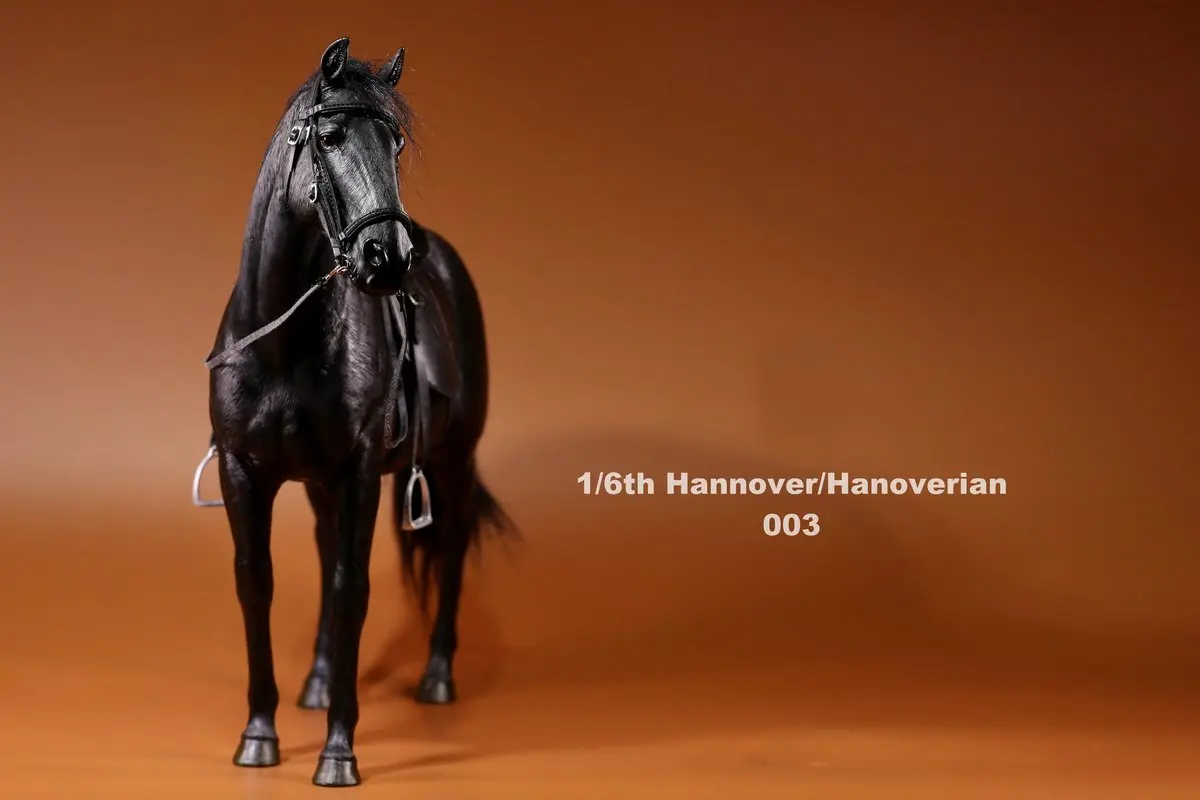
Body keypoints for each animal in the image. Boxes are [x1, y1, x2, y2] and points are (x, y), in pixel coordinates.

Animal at [196, 37, 512, 787]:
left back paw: (436, 676)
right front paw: (259, 736)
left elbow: (351, 588)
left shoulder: (360, 473)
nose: (387, 256)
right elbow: (257, 583)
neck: (282, 344)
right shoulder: (243, 472)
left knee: (450, 546)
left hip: (452, 460)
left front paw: (338, 752)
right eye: (331, 136)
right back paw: (315, 682)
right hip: (317, 484)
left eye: (394, 143)